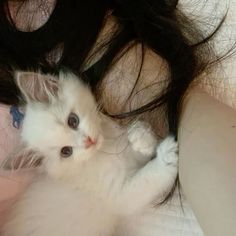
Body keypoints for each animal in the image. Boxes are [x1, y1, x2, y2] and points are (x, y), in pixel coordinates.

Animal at [0, 71, 178, 236]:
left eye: (73, 121)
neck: (103, 149)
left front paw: (140, 136)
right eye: (66, 151)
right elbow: (147, 178)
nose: (89, 141)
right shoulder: (118, 196)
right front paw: (166, 157)